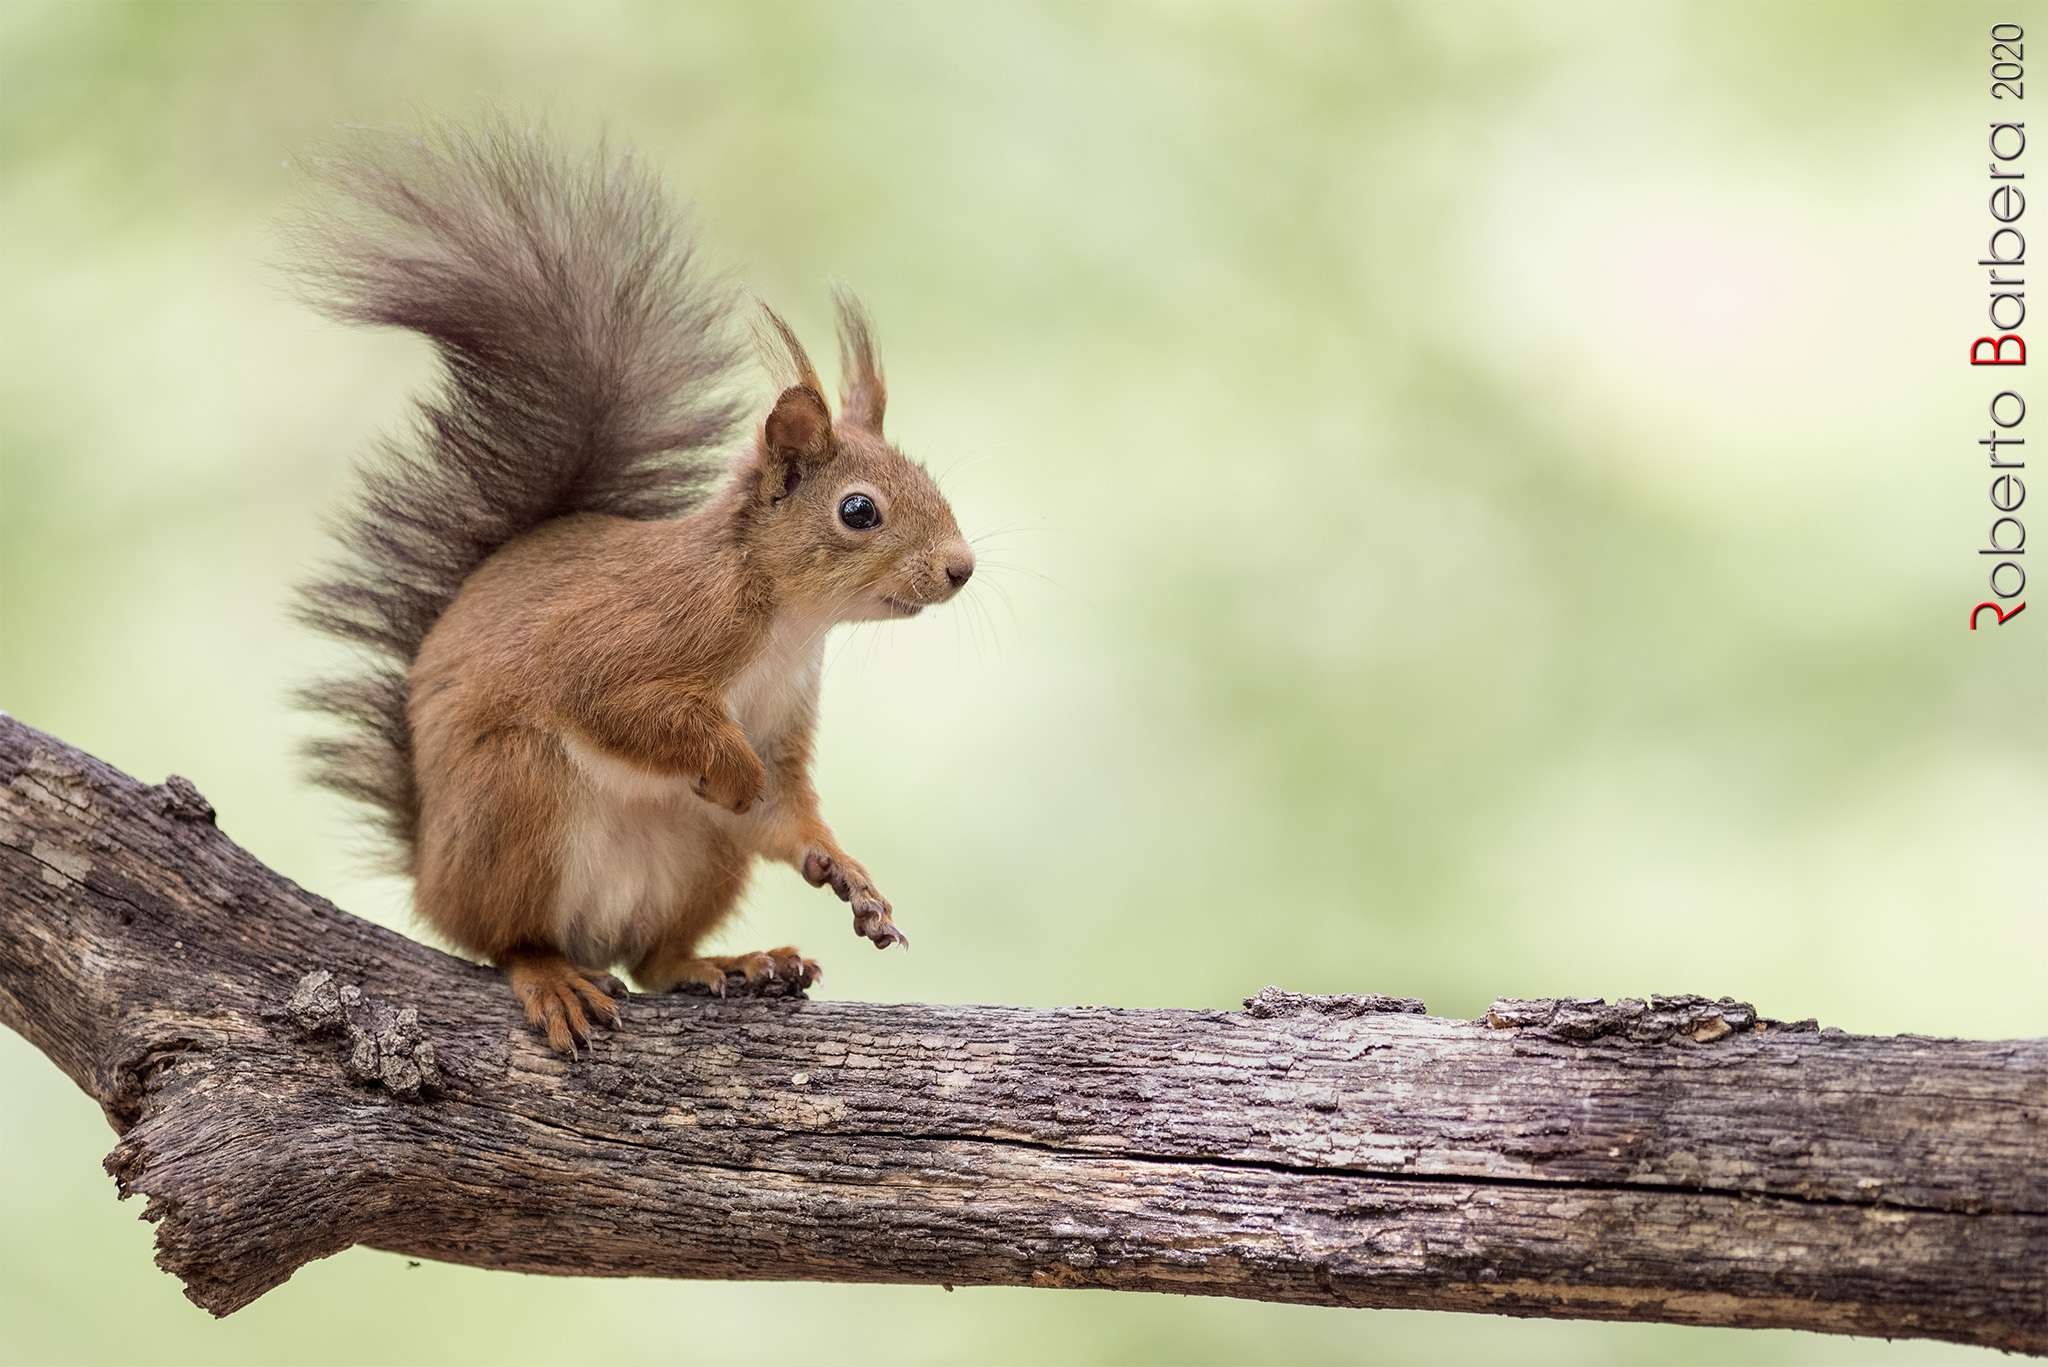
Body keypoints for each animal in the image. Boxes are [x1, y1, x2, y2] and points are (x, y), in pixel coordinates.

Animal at [289, 119, 974, 1053]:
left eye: (928, 476)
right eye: (859, 510)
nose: (961, 567)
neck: (786, 620)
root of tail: (430, 867)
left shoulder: (783, 718)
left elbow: (787, 811)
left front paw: (847, 872)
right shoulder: (634, 634)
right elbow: (622, 704)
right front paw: (729, 767)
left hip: (700, 857)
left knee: (653, 960)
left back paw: (732, 963)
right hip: (517, 799)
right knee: (507, 938)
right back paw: (551, 974)